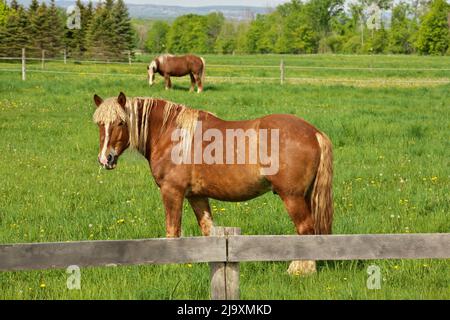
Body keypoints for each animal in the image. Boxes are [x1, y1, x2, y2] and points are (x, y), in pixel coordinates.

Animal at [93, 92, 332, 276]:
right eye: (100, 124)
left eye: (121, 122)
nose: (106, 158)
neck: (172, 135)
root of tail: (314, 132)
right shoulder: (196, 196)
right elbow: (208, 230)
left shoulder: (172, 192)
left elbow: (172, 230)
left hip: (292, 196)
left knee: (305, 228)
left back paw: (300, 270)